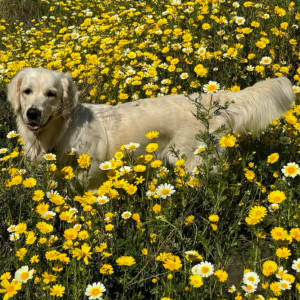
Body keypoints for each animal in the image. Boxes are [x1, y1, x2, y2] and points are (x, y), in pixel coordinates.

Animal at [7, 68, 296, 190]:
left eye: (51, 94)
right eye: (27, 91)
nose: (33, 113)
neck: (59, 131)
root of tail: (210, 100)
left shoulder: (92, 178)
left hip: (192, 163)